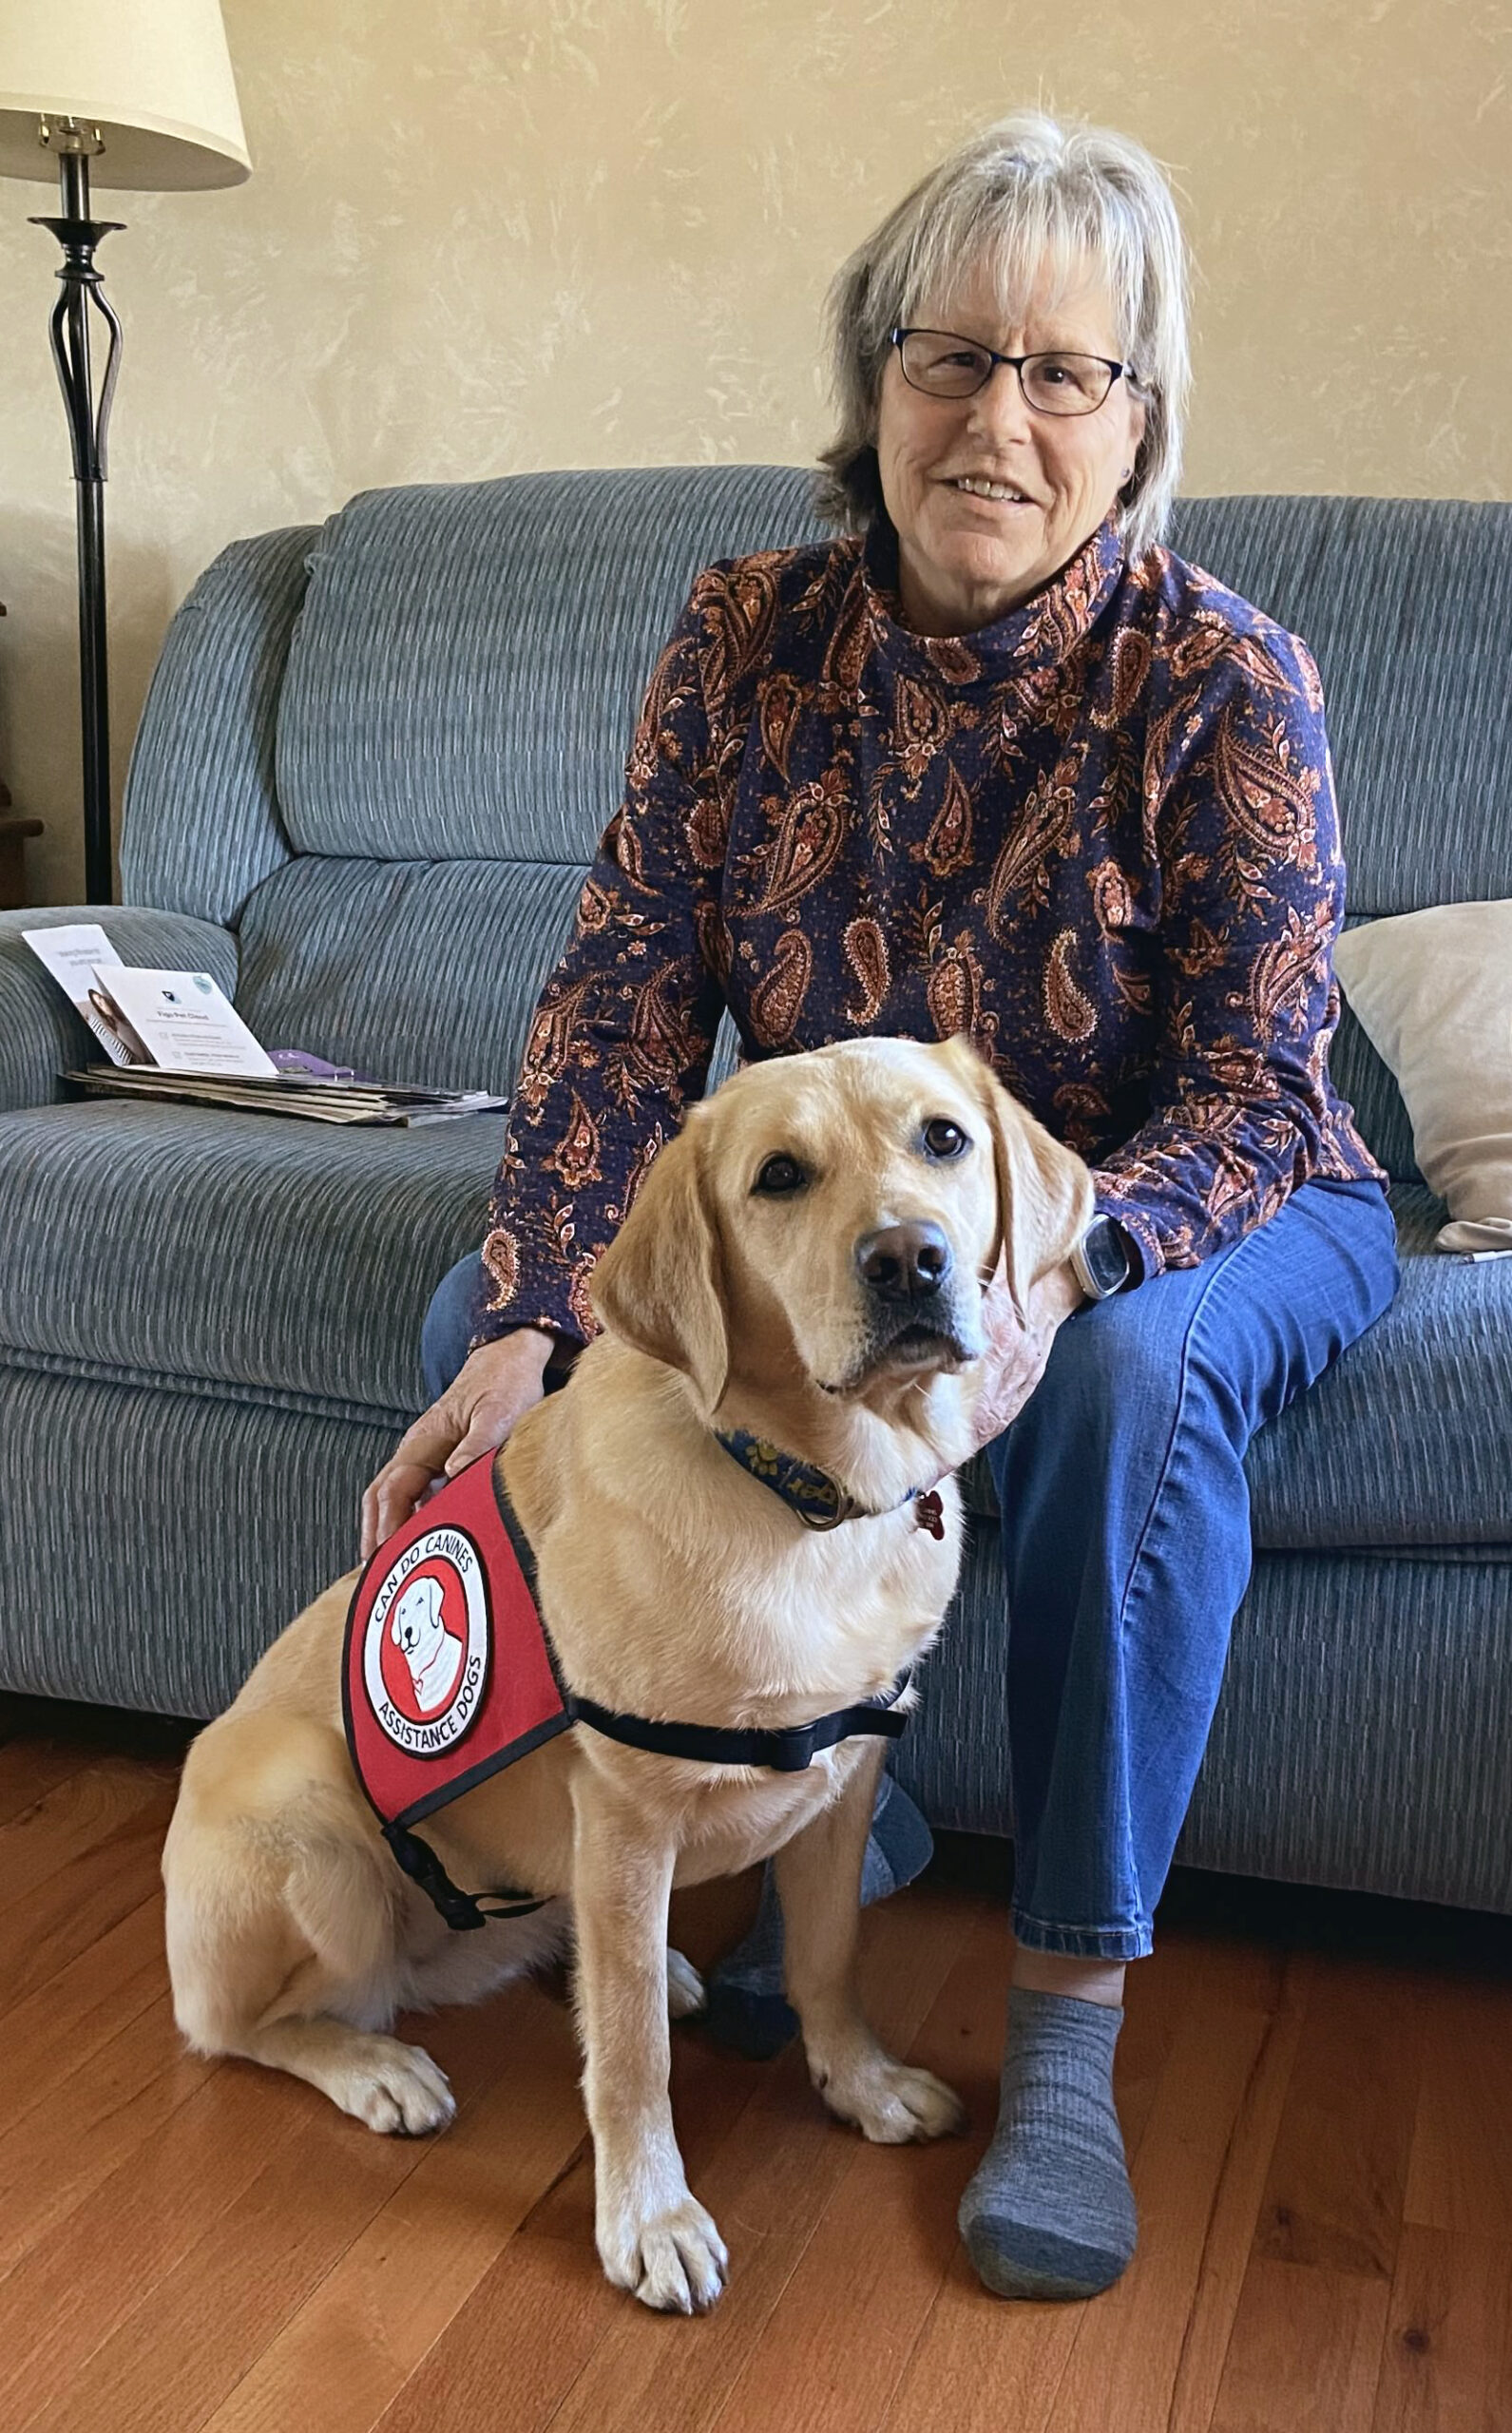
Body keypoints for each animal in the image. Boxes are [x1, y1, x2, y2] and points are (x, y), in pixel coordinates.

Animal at [162, 1031, 1085, 2316]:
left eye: (942, 1137)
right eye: (780, 1176)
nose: (909, 1258)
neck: (799, 1495)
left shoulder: (844, 1780)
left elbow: (829, 1959)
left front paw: (860, 2083)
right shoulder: (629, 1817)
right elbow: (634, 2058)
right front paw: (650, 2217)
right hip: (308, 1813)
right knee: (249, 2023)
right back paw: (376, 2064)